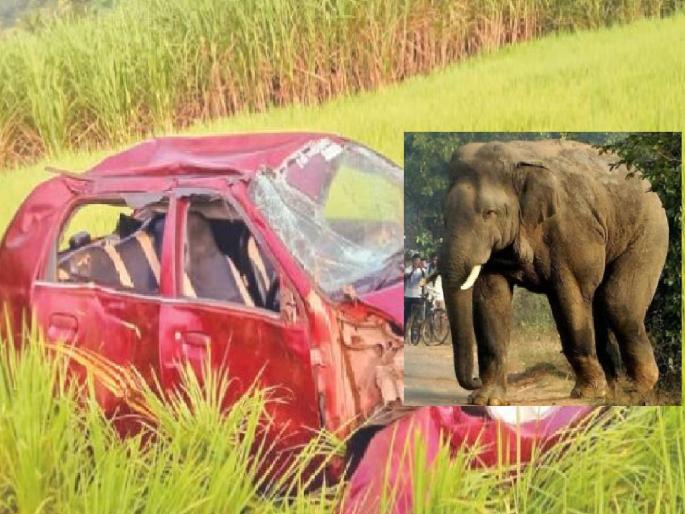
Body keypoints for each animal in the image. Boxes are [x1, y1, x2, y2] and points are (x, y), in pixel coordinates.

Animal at [439, 139, 668, 405]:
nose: (474, 381)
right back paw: (614, 392)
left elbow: (570, 294)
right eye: (444, 216)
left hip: (649, 234)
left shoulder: (571, 230)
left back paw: (634, 390)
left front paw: (587, 392)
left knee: (618, 304)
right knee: (602, 303)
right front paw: (487, 400)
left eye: (490, 213)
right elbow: (491, 298)